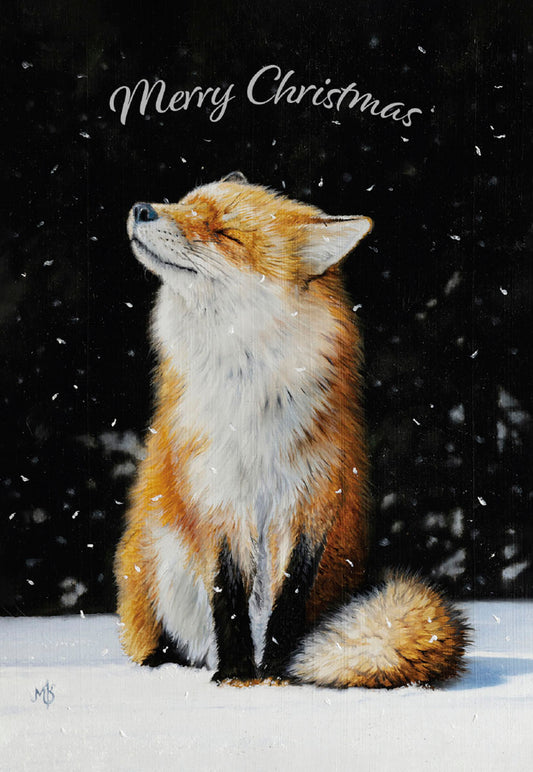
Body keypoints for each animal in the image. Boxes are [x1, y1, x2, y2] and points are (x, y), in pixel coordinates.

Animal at [114, 171, 469, 688]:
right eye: (185, 202)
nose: (141, 208)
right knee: (167, 640)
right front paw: (236, 676)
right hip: (157, 560)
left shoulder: (313, 500)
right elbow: (228, 600)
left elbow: (290, 601)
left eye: (227, 234)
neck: (251, 405)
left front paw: (277, 673)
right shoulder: (218, 502)